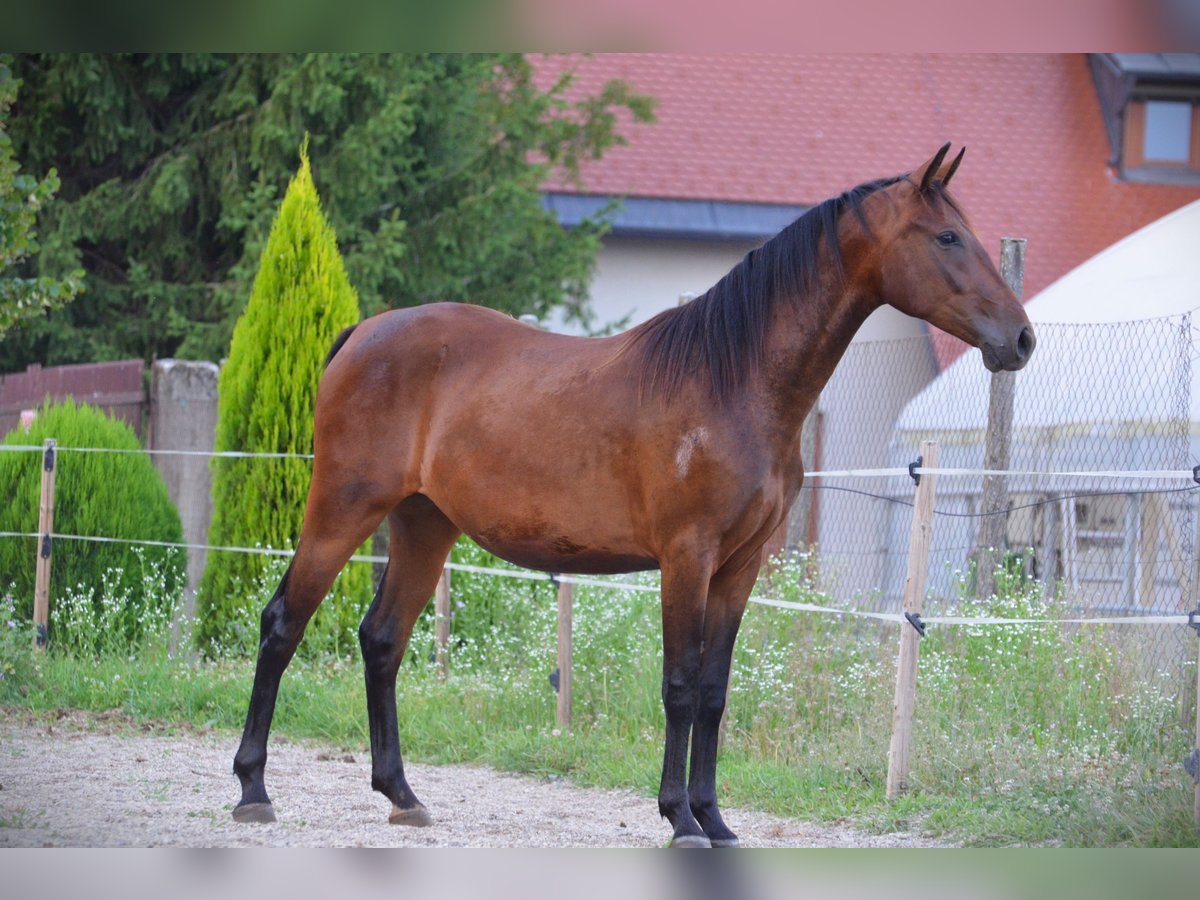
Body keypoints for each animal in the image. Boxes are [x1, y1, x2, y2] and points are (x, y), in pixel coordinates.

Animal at [231, 144, 1032, 849]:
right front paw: (679, 819)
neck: (734, 381)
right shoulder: (687, 558)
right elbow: (679, 685)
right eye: (947, 236)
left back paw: (402, 795)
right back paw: (253, 790)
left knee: (382, 640)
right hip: (342, 509)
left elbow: (714, 692)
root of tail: (362, 334)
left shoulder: (738, 568)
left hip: (424, 525)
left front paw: (715, 818)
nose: (1020, 339)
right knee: (282, 625)